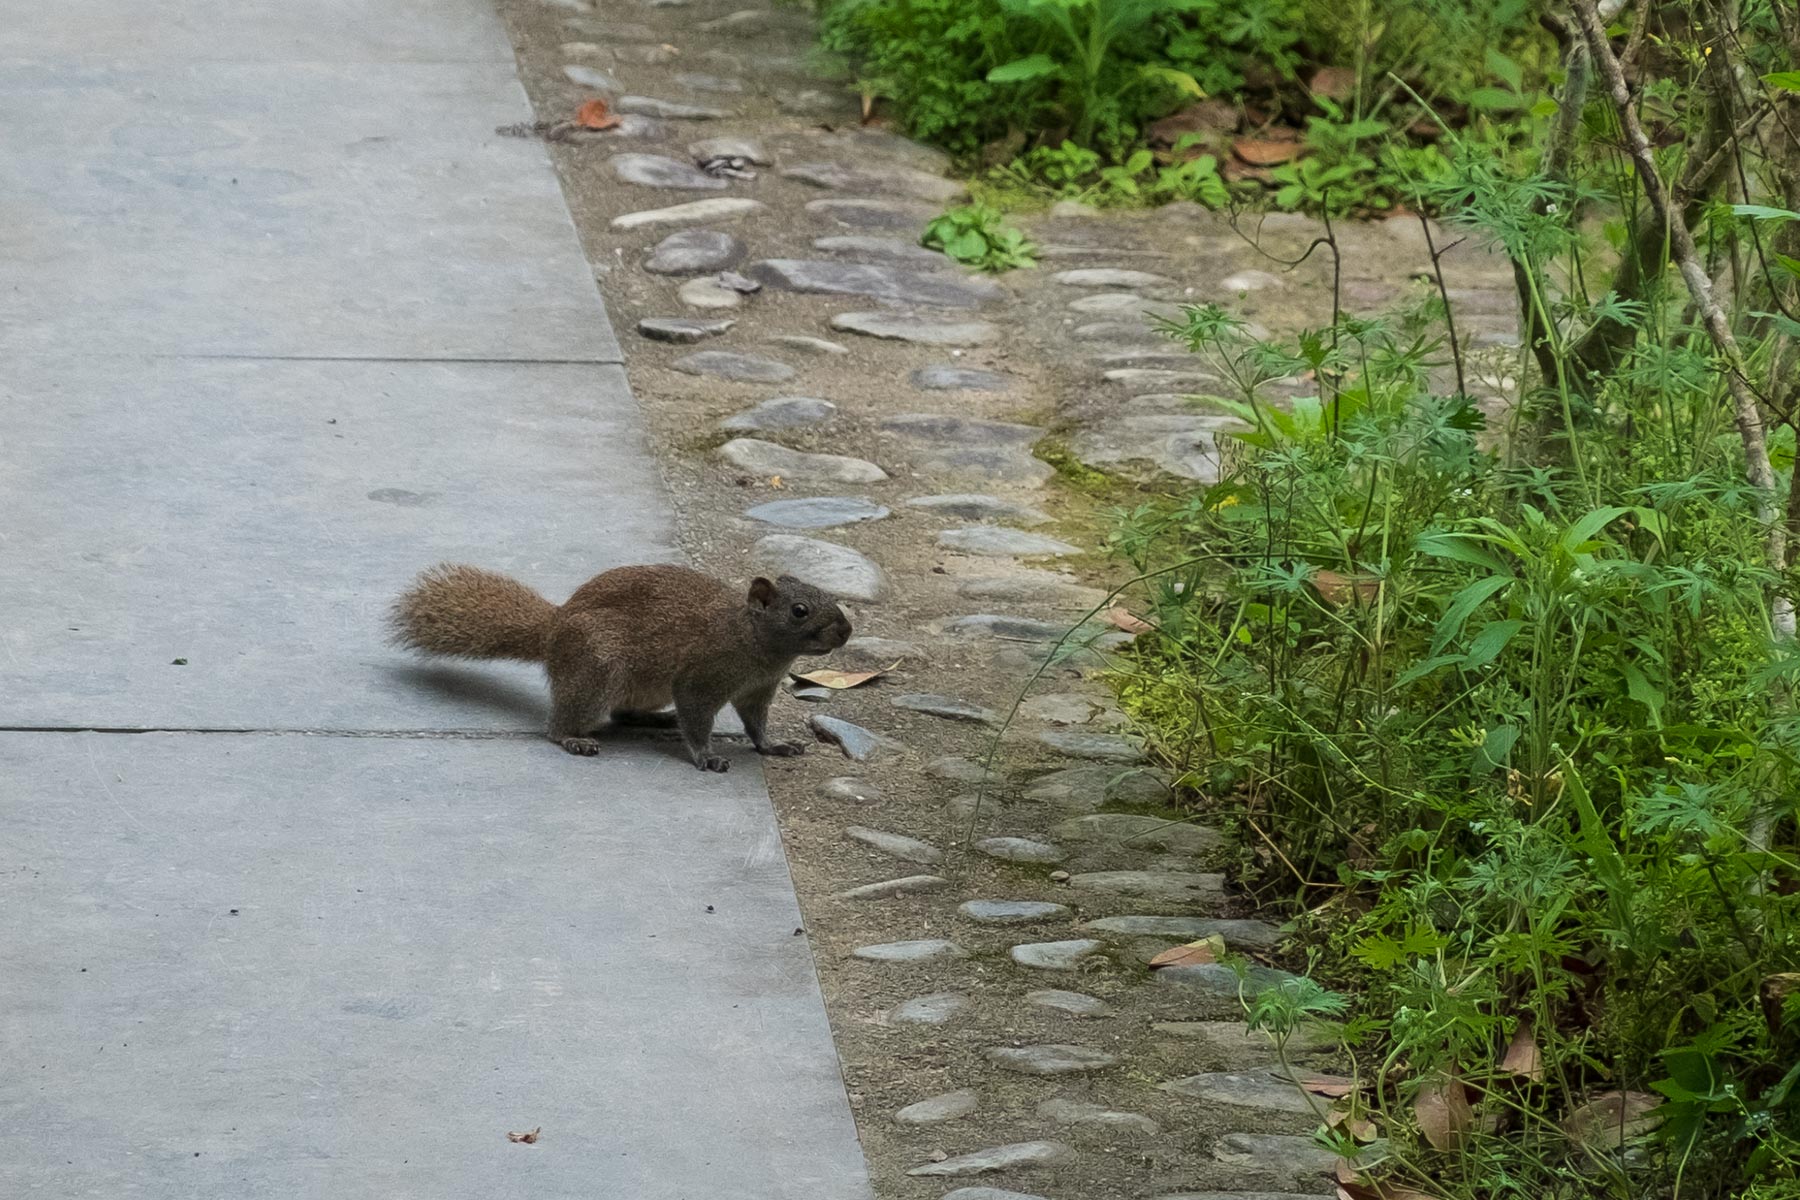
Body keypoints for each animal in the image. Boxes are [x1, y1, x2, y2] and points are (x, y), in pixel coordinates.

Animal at [390, 561, 853, 770]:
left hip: (642, 684)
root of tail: (554, 631)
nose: (847, 630)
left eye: (829, 593)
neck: (753, 642)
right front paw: (706, 756)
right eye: (799, 610)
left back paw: (658, 720)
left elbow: (756, 726)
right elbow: (697, 718)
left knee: (621, 713)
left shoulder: (757, 691)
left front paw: (773, 745)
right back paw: (573, 739)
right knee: (562, 723)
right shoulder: (701, 677)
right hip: (597, 670)